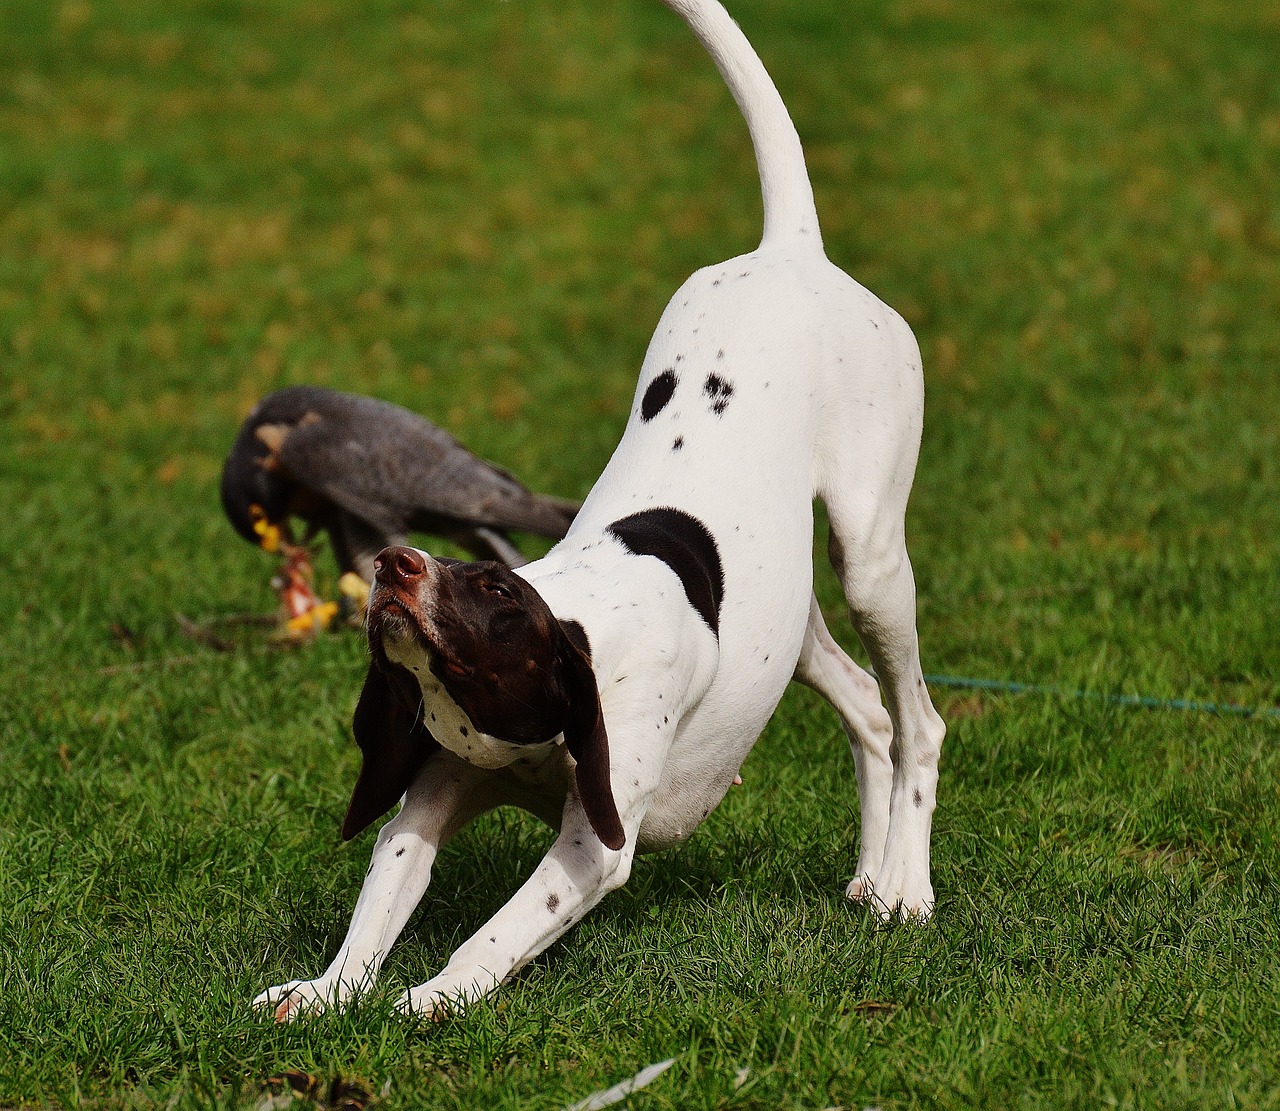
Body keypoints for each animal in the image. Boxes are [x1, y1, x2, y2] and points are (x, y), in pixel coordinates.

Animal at [254, 0, 947, 1023]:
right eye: (472, 573)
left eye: (495, 588)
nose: (395, 562)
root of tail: (791, 248)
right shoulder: (428, 800)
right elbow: (379, 900)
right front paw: (328, 990)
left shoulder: (593, 845)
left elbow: (491, 935)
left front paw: (430, 999)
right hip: (787, 624)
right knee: (868, 707)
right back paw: (870, 874)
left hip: (870, 563)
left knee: (919, 722)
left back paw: (907, 886)